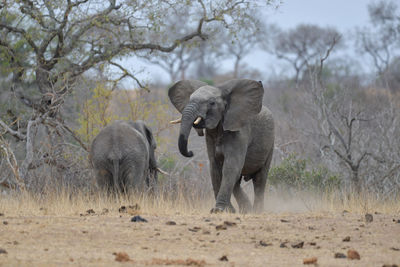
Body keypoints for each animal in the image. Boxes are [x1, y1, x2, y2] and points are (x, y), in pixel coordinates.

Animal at [167, 79, 274, 214]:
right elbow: (215, 168)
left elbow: (230, 166)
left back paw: (256, 211)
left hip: (270, 144)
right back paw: (246, 210)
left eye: (211, 103)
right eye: (189, 99)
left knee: (260, 179)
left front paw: (218, 210)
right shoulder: (210, 137)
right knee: (237, 181)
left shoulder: (240, 132)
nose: (191, 152)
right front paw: (227, 211)